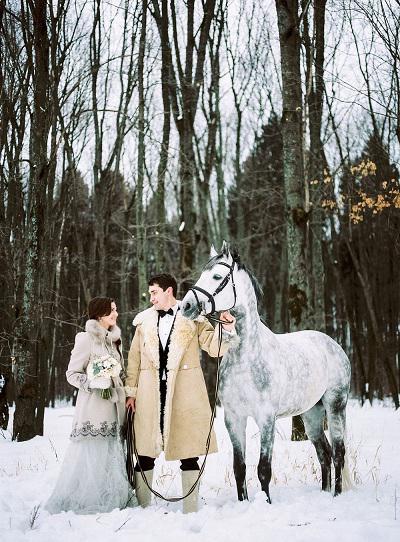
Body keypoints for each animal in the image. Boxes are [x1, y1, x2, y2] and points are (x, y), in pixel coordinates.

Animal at [180, 244, 350, 504]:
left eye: (217, 277)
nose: (186, 306)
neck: (247, 358)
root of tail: (334, 345)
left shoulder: (266, 419)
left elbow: (263, 469)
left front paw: (266, 503)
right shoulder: (234, 419)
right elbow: (239, 468)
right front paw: (243, 502)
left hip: (335, 406)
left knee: (339, 452)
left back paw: (337, 495)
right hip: (311, 414)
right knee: (324, 453)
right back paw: (323, 492)